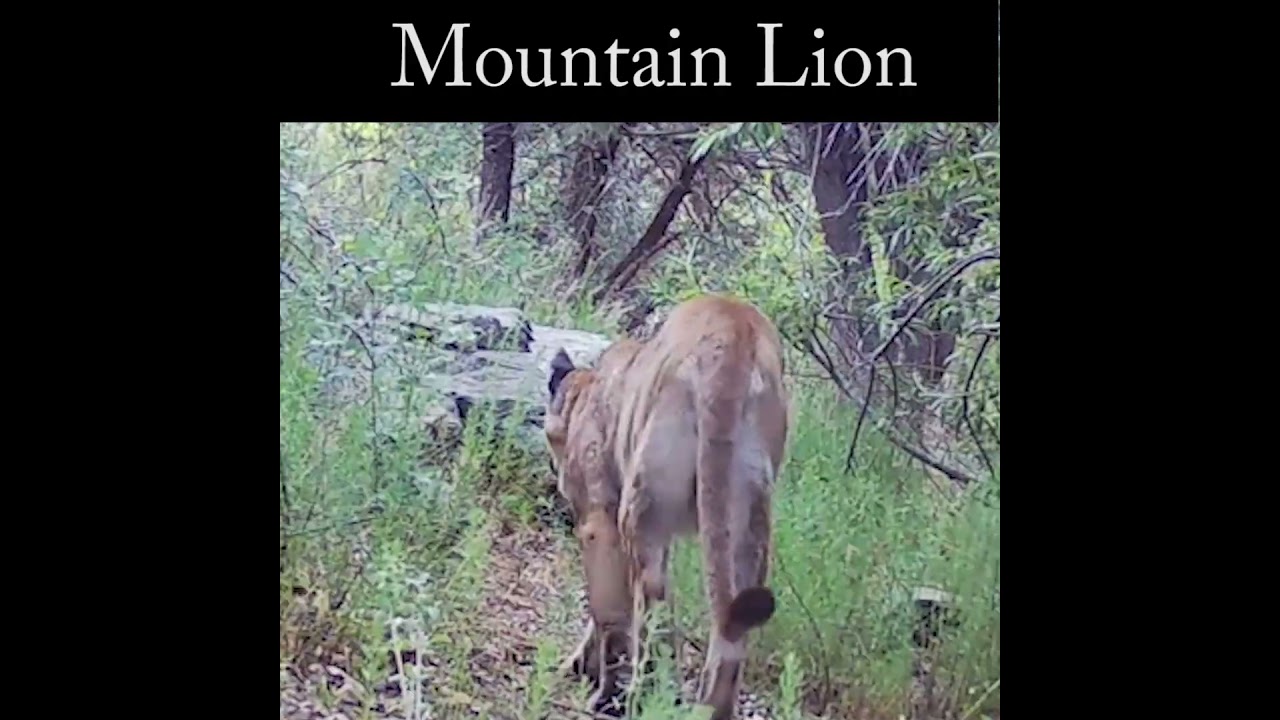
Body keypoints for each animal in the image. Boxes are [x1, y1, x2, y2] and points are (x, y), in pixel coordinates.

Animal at [544, 294, 791, 720]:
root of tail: (733, 334)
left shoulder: (599, 520)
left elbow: (608, 609)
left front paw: (600, 687)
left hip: (643, 511)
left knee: (654, 603)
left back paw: (643, 696)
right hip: (749, 522)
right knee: (729, 632)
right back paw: (708, 710)